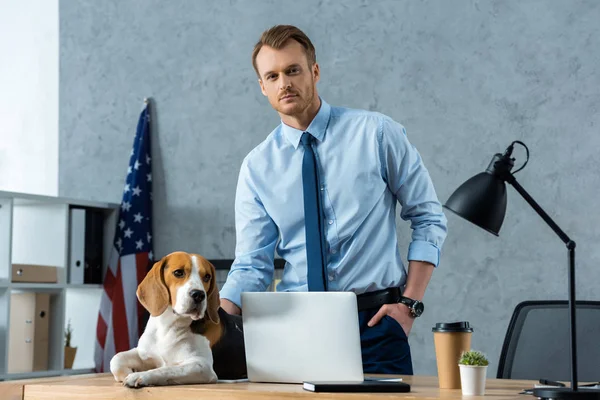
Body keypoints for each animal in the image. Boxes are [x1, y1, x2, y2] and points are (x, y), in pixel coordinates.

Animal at [109, 253, 246, 388]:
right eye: (178, 272)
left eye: (207, 277)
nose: (199, 295)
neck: (168, 325)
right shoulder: (144, 352)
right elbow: (116, 359)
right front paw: (129, 372)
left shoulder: (203, 366)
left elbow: (167, 369)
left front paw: (140, 375)